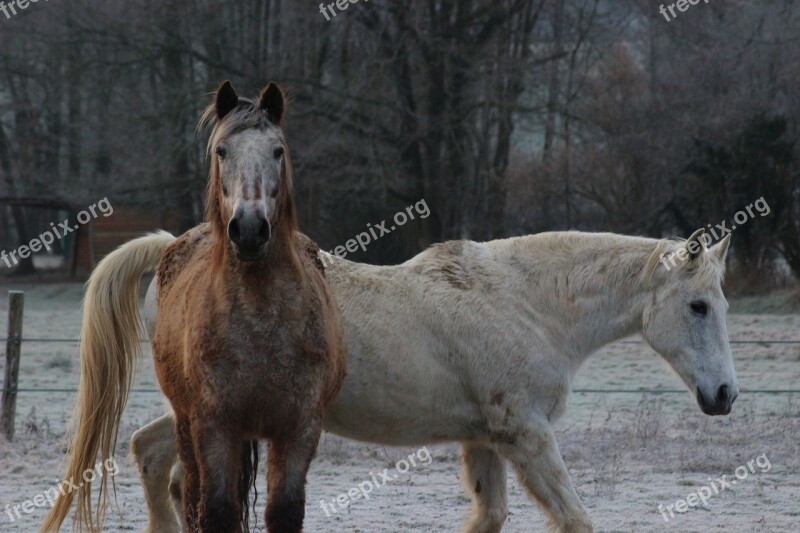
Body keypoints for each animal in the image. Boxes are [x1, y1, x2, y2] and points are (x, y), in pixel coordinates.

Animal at [40, 80, 346, 532]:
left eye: (278, 150)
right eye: (222, 151)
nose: (249, 229)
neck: (261, 324)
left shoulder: (299, 430)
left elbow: (284, 513)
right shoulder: (214, 426)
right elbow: (216, 511)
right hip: (186, 423)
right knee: (186, 489)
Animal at [128, 227, 736, 528]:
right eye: (699, 305)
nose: (725, 395)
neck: (525, 304)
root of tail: (174, 257)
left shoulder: (486, 440)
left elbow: (489, 517)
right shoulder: (527, 435)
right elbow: (576, 519)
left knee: (154, 458)